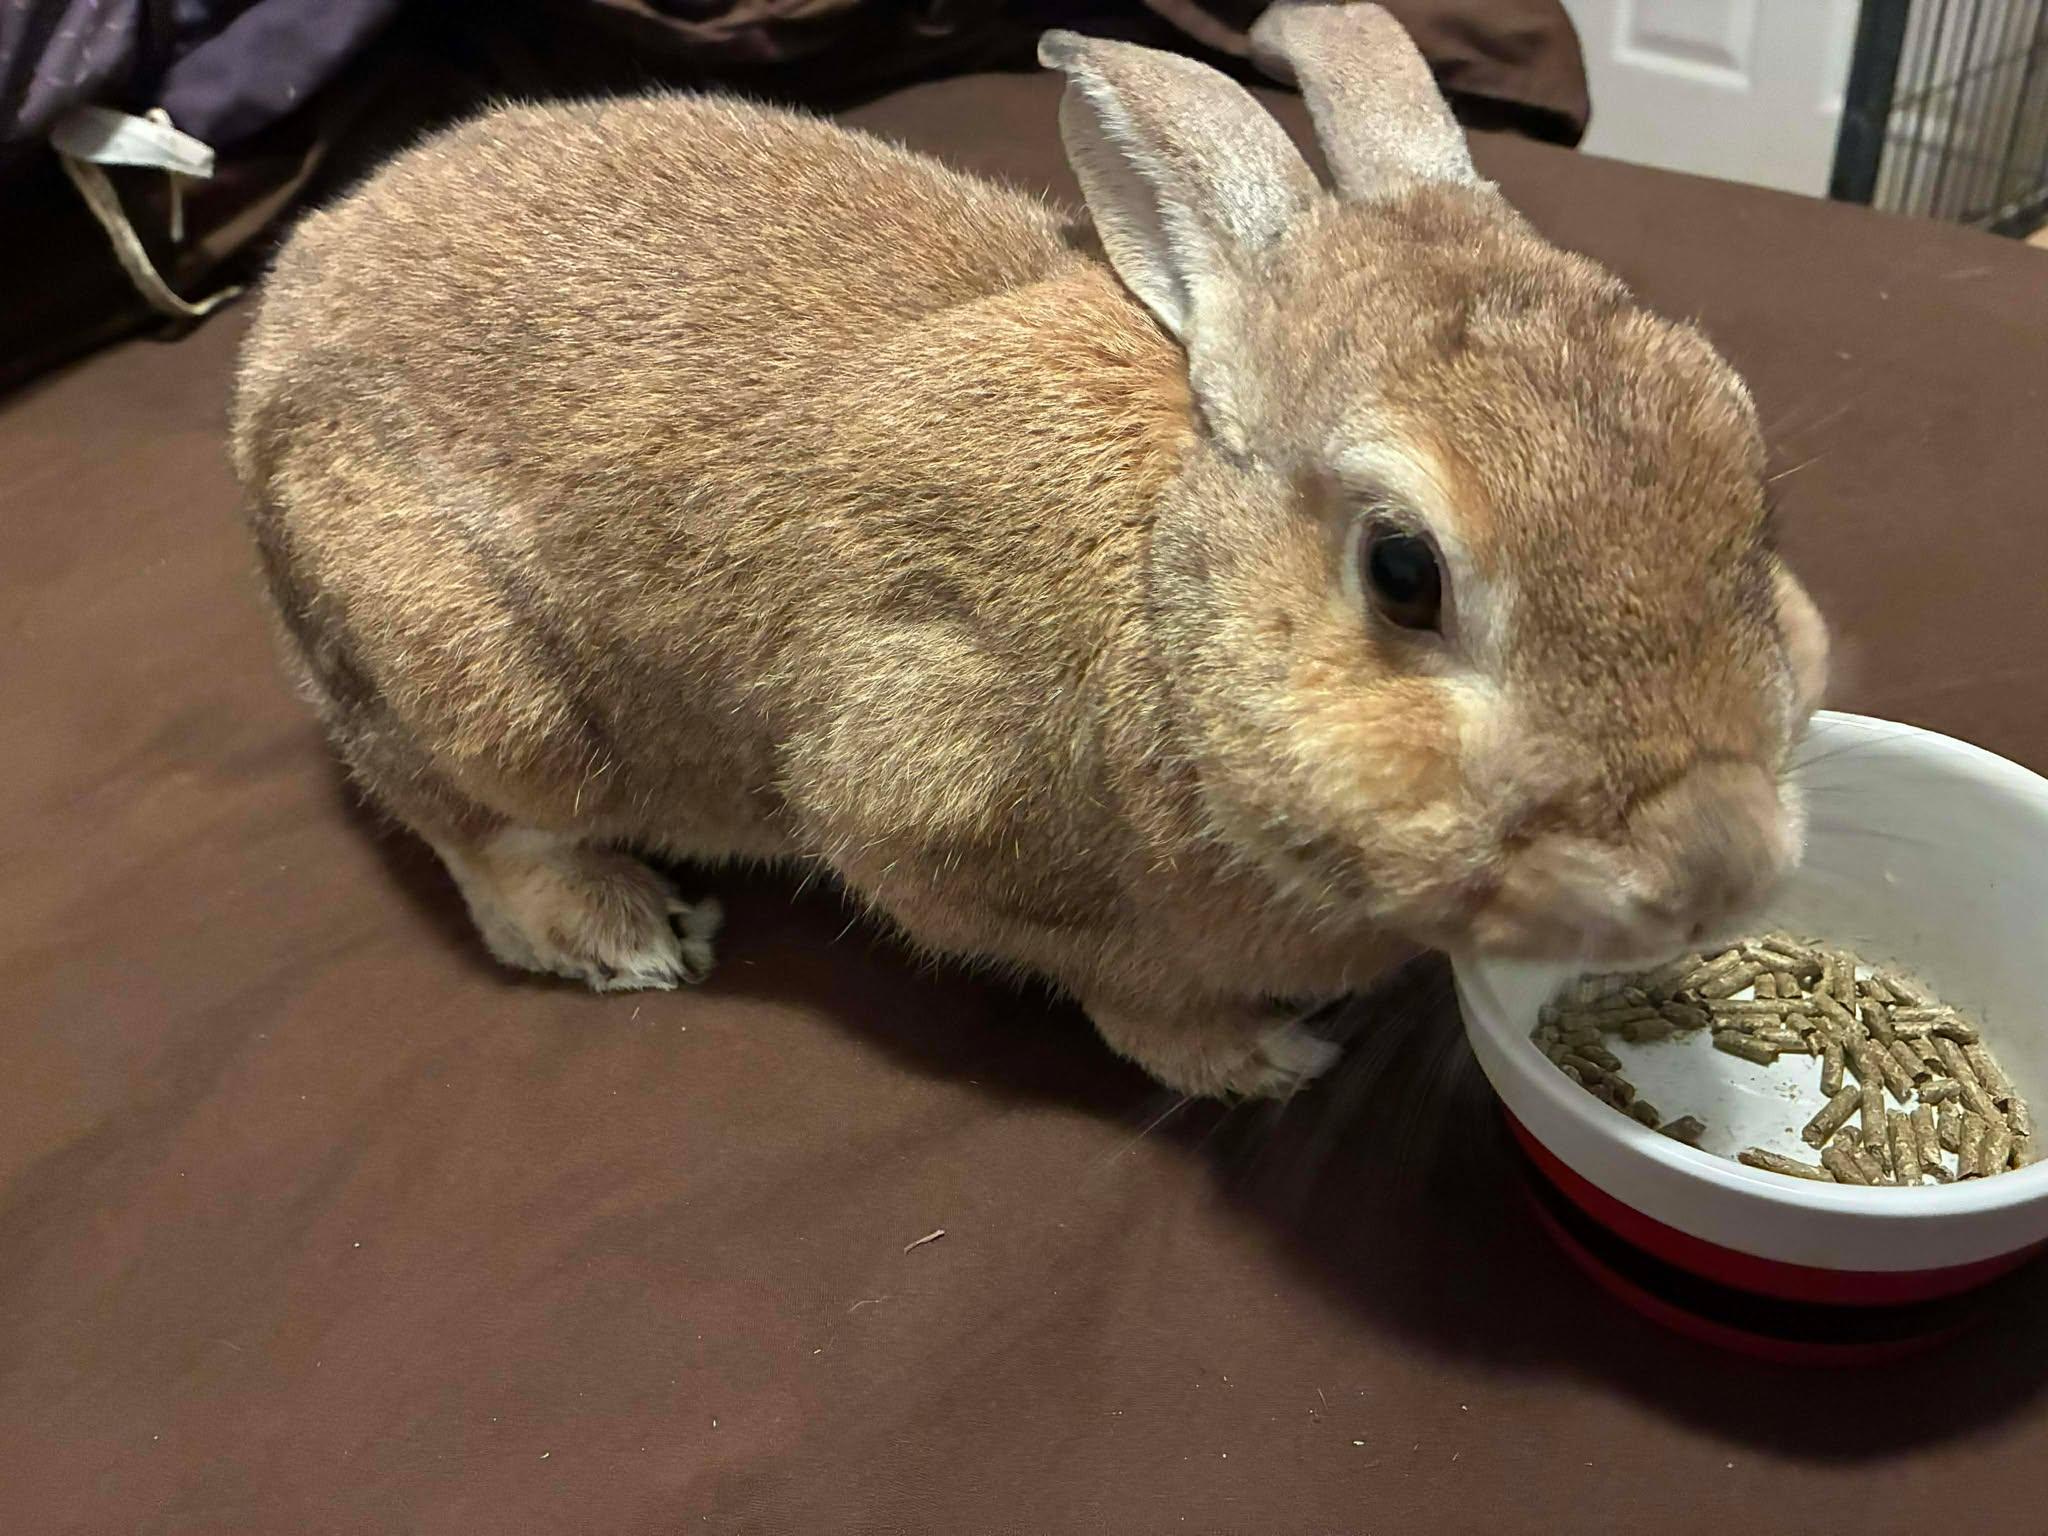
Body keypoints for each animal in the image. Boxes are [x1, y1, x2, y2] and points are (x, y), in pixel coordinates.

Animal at [229, 1, 1829, 1101]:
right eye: (1402, 573)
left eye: (1737, 447)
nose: (1717, 869)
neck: (1169, 594)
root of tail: (273, 334)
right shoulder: (916, 796)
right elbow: (1114, 982)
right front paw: (1257, 1063)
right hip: (468, 676)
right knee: (472, 826)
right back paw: (621, 930)